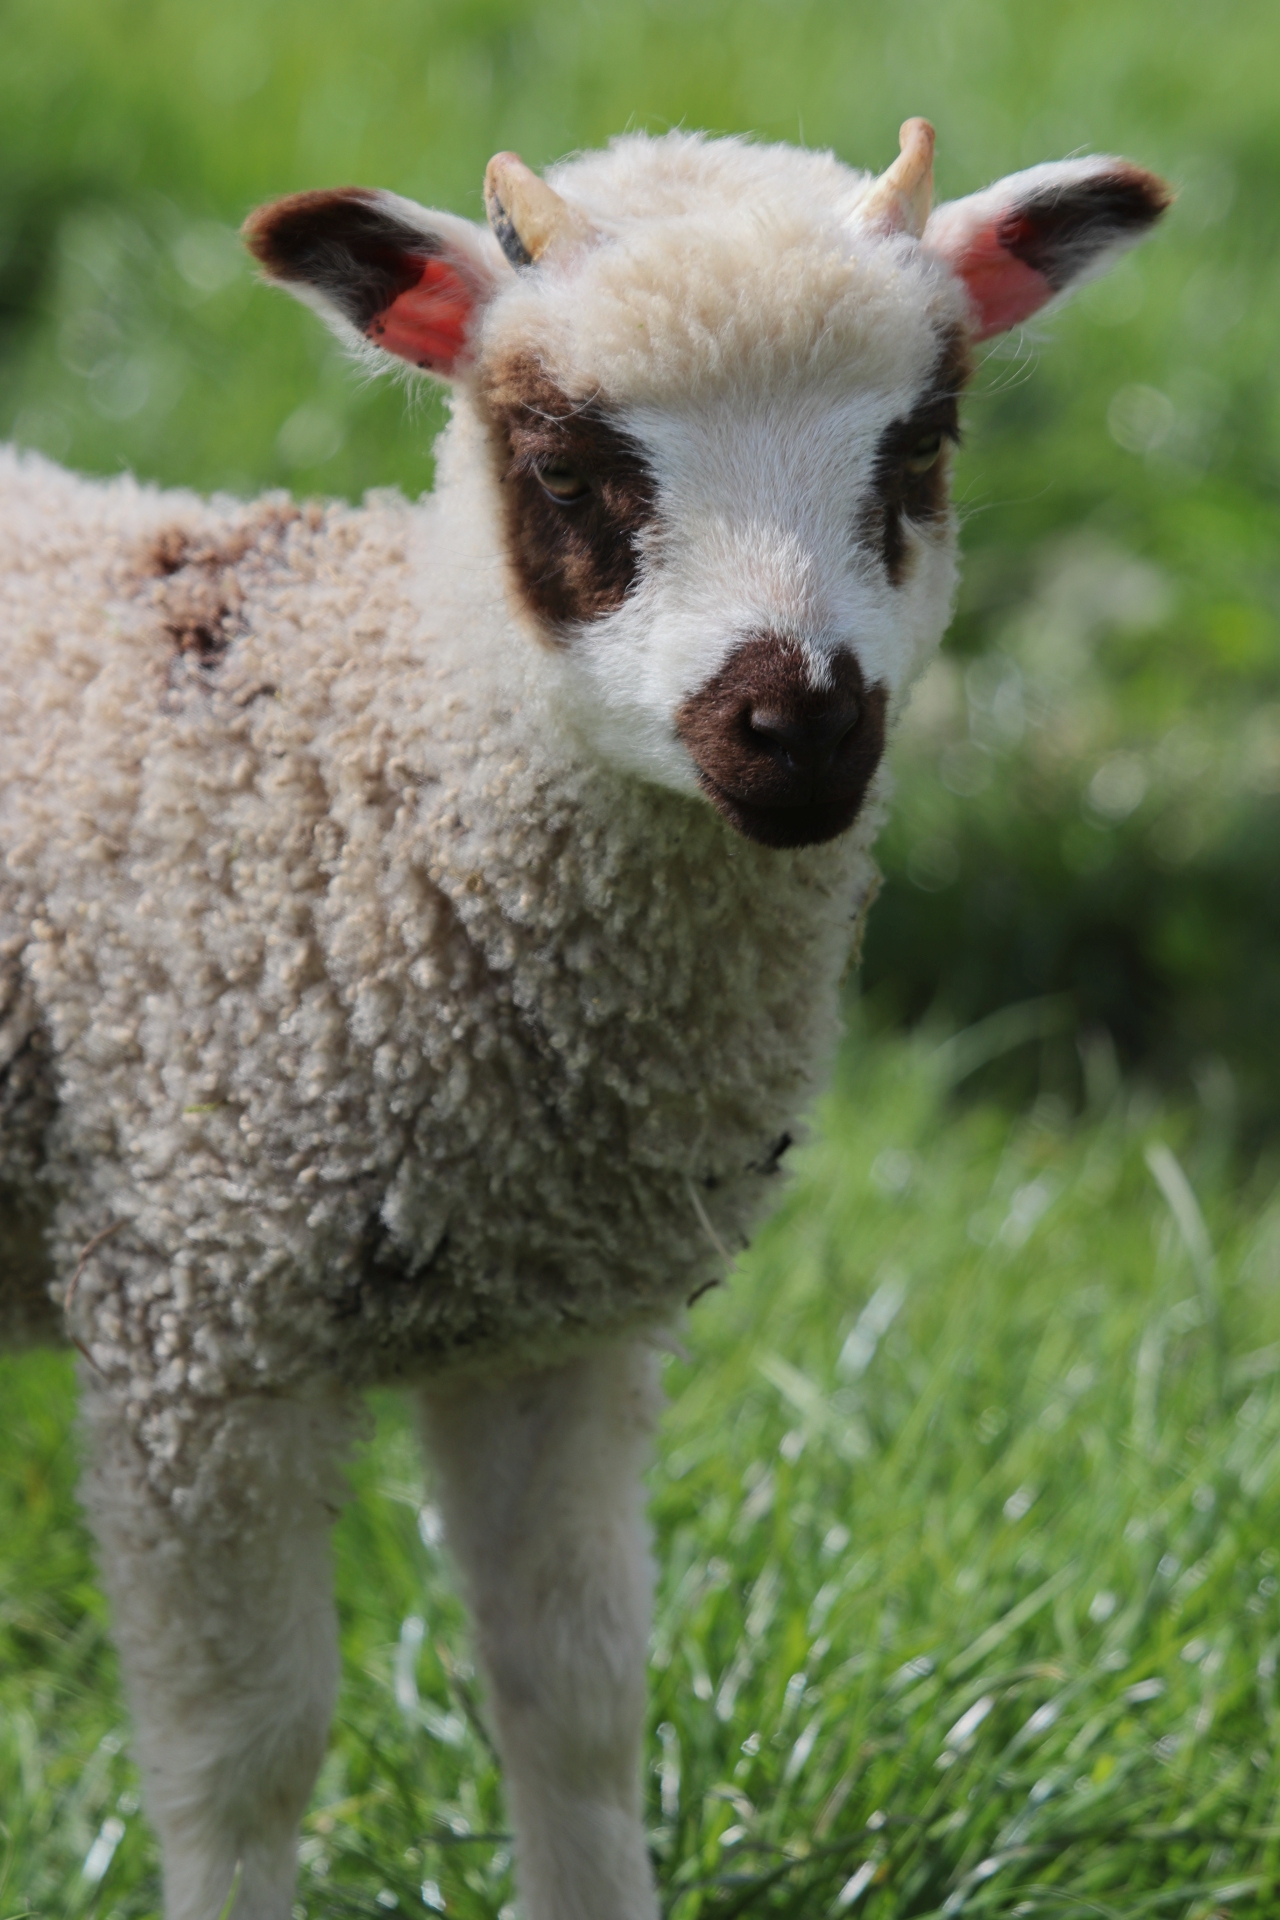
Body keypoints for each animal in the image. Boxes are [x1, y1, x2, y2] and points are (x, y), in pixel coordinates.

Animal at [0, 123, 1174, 1920]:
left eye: (921, 443)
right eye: (565, 470)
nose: (800, 727)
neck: (365, 773)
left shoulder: (553, 1328)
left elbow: (578, 1704)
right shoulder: (198, 1319)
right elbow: (241, 1761)